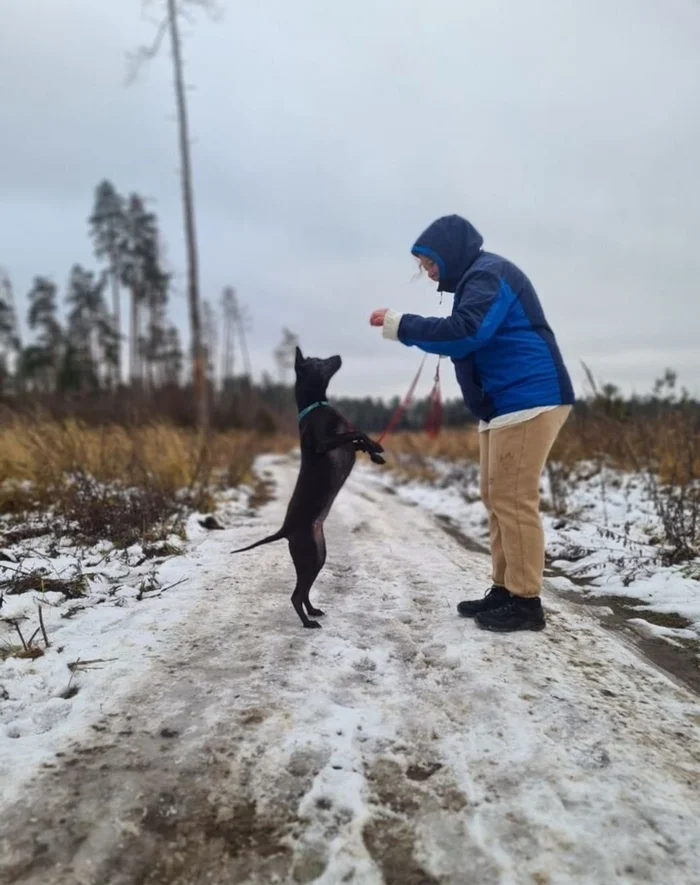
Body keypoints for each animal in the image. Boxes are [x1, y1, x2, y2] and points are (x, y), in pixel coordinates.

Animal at [231, 346, 386, 628]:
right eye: (318, 361)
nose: (338, 355)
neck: (315, 406)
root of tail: (285, 530)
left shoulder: (344, 441)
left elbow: (358, 438)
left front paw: (376, 454)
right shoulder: (325, 442)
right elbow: (356, 432)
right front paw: (376, 446)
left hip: (317, 556)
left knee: (303, 592)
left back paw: (313, 611)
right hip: (310, 555)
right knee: (295, 595)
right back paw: (307, 622)